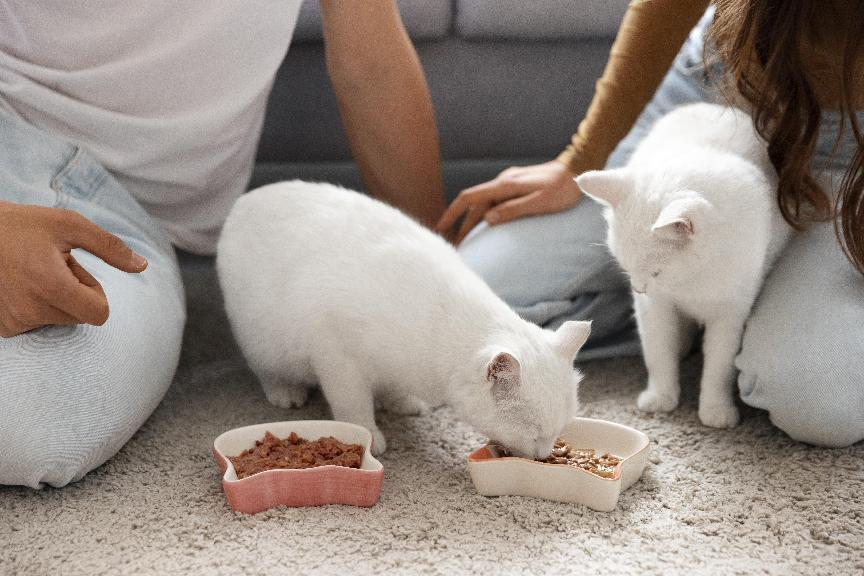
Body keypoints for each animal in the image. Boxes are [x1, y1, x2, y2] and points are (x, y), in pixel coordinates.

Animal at [216, 180, 592, 454]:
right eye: (535, 434)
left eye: (558, 432)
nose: (545, 454)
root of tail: (245, 199)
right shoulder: (337, 356)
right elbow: (353, 403)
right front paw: (368, 433)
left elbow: (392, 386)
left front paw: (400, 401)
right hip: (261, 339)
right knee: (267, 370)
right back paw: (285, 392)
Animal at [576, 103, 792, 428]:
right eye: (627, 270)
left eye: (656, 272)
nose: (639, 288)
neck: (691, 281)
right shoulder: (655, 307)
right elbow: (657, 351)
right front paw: (661, 395)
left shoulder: (730, 312)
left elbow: (719, 364)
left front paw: (715, 408)